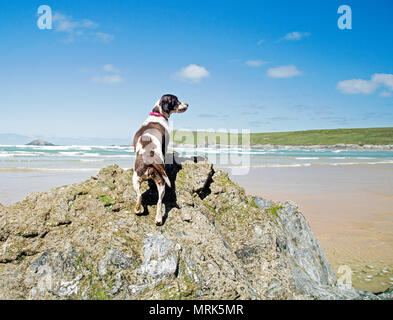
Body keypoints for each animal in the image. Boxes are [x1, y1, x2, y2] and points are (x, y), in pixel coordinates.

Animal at [132, 94, 188, 225]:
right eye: (176, 101)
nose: (187, 104)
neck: (157, 114)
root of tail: (150, 156)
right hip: (161, 182)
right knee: (158, 202)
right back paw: (158, 219)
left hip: (138, 180)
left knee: (140, 196)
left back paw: (140, 210)